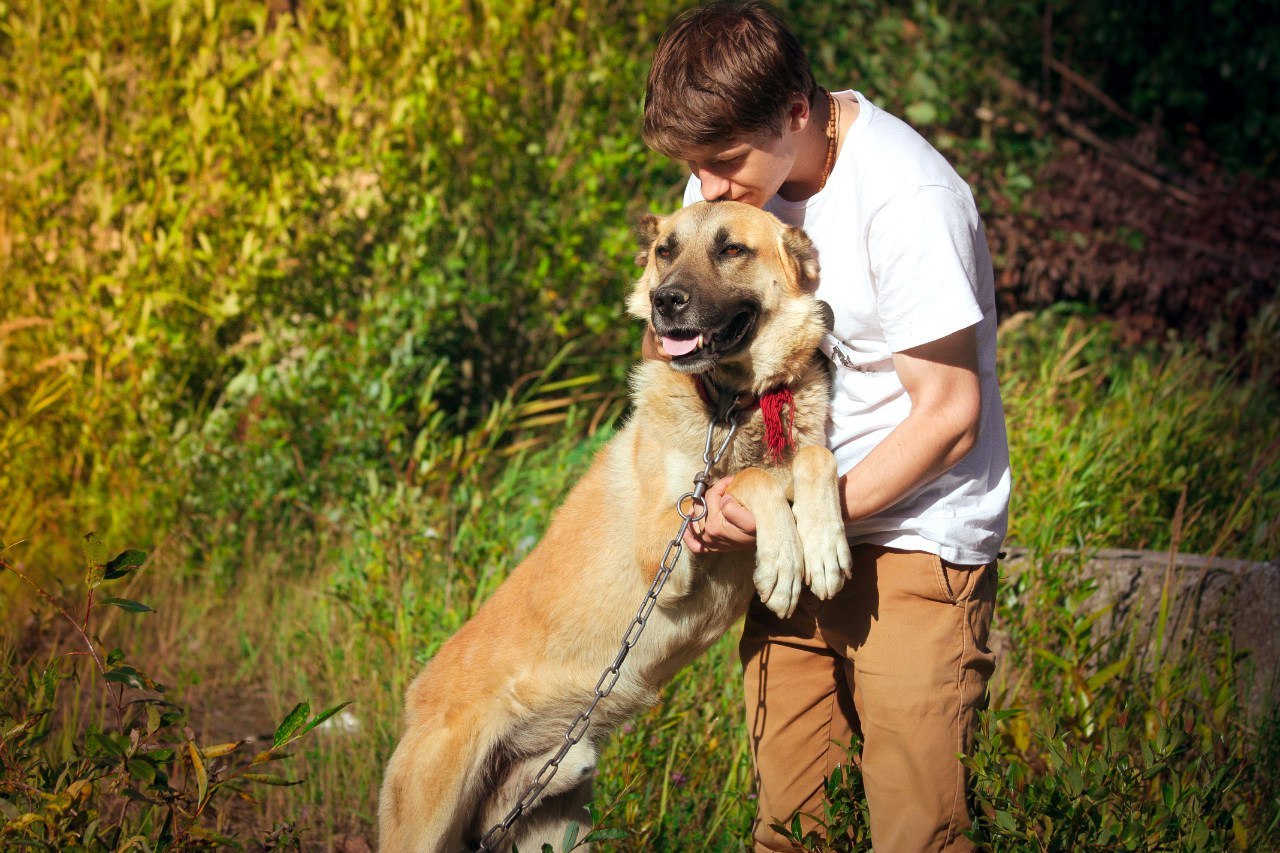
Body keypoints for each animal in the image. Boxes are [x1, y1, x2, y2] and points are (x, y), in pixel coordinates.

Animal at [384, 201, 855, 850]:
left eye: (732, 249)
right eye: (665, 250)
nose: (666, 301)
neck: (731, 408)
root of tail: (415, 702)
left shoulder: (784, 463)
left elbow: (813, 459)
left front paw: (825, 543)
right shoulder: (671, 540)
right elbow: (751, 483)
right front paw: (784, 558)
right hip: (425, 824)